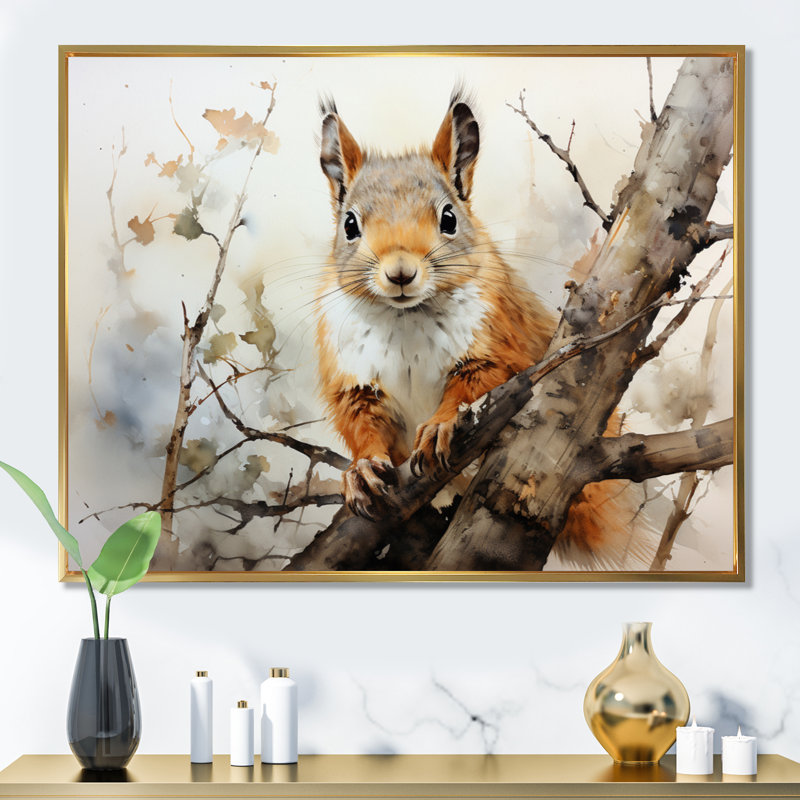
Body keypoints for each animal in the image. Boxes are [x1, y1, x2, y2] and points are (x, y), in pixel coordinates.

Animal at [313, 93, 645, 566]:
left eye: (450, 219)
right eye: (350, 225)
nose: (400, 273)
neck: (405, 316)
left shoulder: (497, 343)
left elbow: (474, 386)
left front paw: (439, 427)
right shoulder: (354, 379)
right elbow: (363, 424)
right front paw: (360, 471)